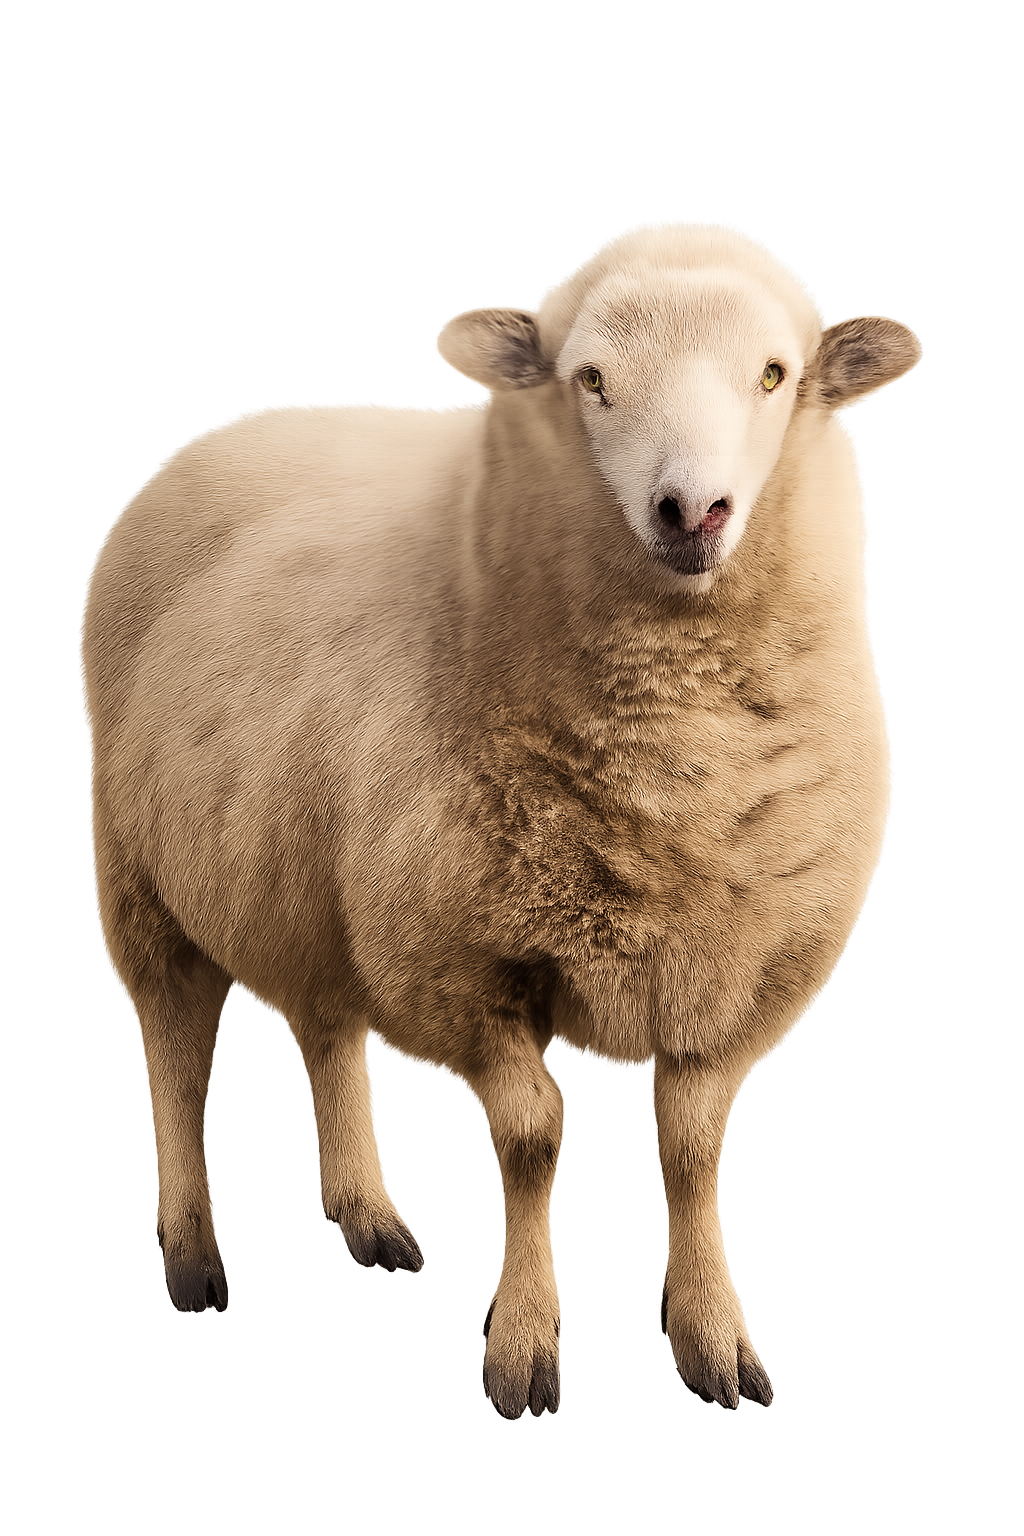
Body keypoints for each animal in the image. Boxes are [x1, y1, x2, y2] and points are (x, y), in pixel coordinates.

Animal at [85, 226, 920, 1420]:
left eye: (775, 373)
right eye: (589, 379)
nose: (693, 511)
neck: (671, 779)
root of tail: (238, 425)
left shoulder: (724, 962)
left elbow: (693, 1154)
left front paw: (711, 1333)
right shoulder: (470, 959)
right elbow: (531, 1145)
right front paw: (522, 1345)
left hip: (321, 876)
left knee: (325, 1023)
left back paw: (362, 1212)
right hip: (142, 870)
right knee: (174, 1048)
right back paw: (192, 1250)